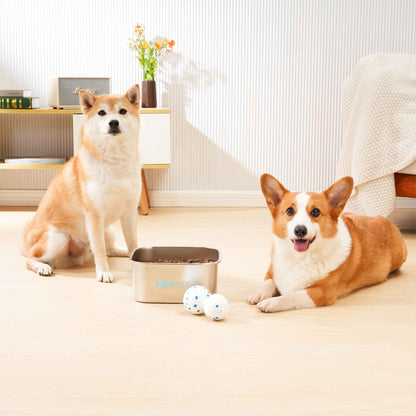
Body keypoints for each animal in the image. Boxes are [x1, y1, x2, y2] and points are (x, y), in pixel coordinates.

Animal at [24, 84, 141, 282]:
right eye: (101, 113)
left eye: (123, 111)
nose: (113, 122)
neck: (114, 161)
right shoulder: (94, 213)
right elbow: (99, 249)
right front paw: (104, 273)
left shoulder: (130, 211)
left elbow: (132, 242)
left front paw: (135, 262)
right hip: (58, 237)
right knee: (31, 258)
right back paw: (42, 266)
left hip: (109, 230)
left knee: (111, 249)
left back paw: (123, 252)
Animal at [247, 174, 406, 314]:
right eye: (290, 211)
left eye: (315, 212)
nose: (300, 230)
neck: (300, 258)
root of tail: (386, 220)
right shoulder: (271, 271)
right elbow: (268, 282)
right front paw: (259, 294)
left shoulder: (321, 293)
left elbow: (291, 295)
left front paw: (272, 302)